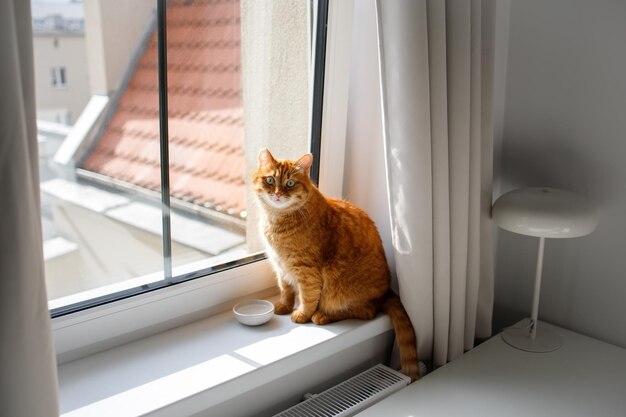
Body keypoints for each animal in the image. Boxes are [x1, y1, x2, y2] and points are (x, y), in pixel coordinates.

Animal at [250, 150, 420, 380]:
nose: (277, 193)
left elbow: (307, 298)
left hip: (340, 290)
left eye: (290, 183)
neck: (277, 220)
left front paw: (301, 314)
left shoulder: (306, 272)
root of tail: (387, 292)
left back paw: (322, 315)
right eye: (270, 180)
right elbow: (286, 290)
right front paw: (285, 306)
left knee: (365, 312)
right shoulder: (280, 266)